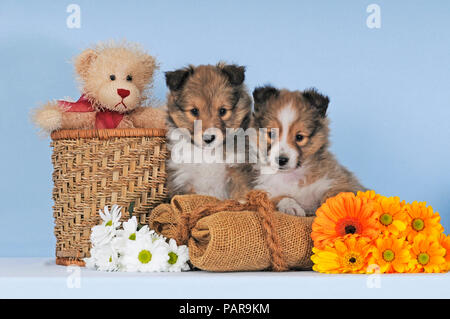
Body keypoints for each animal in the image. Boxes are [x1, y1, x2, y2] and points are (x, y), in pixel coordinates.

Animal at [163, 62, 253, 200]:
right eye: (194, 111)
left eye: (222, 111)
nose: (208, 138)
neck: (208, 154)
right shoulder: (182, 179)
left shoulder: (239, 170)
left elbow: (240, 198)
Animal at [251, 86, 364, 216]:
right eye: (271, 134)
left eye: (299, 137)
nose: (281, 160)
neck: (292, 175)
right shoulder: (263, 190)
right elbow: (281, 196)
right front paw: (292, 207)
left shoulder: (339, 182)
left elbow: (336, 195)